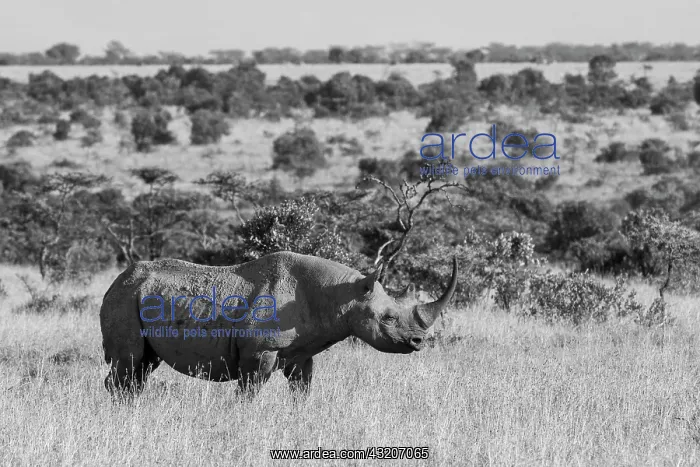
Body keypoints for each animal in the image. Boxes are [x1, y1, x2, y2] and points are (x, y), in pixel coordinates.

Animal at [100, 251, 458, 396]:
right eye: (388, 318)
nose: (418, 342)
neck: (340, 294)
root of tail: (116, 280)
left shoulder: (301, 352)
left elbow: (302, 390)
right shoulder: (260, 350)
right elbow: (248, 392)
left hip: (136, 296)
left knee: (142, 365)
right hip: (124, 298)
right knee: (129, 361)